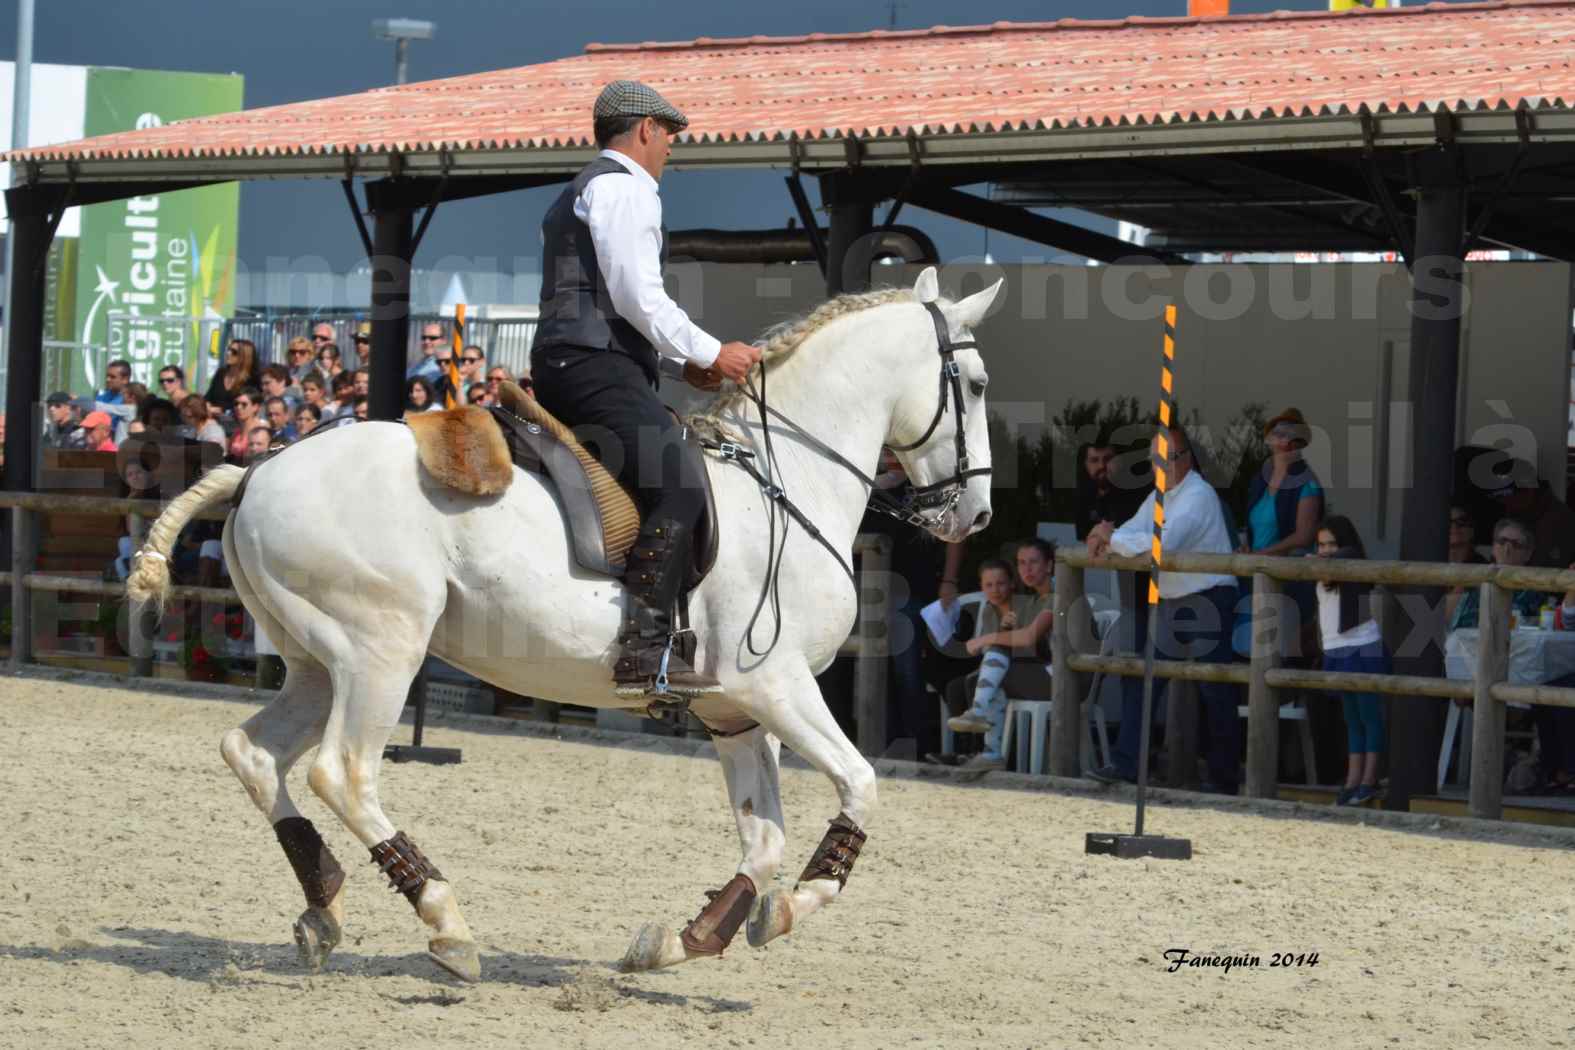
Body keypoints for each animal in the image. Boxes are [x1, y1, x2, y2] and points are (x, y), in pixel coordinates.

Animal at [129, 267, 1001, 982]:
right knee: (342, 772)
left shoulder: (731, 708)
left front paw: (684, 939)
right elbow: (859, 786)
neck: (785, 485)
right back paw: (446, 922)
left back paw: (323, 905)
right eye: (977, 383)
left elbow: (764, 839)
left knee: (254, 755)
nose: (976, 515)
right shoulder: (776, 686)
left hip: (318, 663)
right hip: (380, 653)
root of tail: (261, 467)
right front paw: (788, 908)